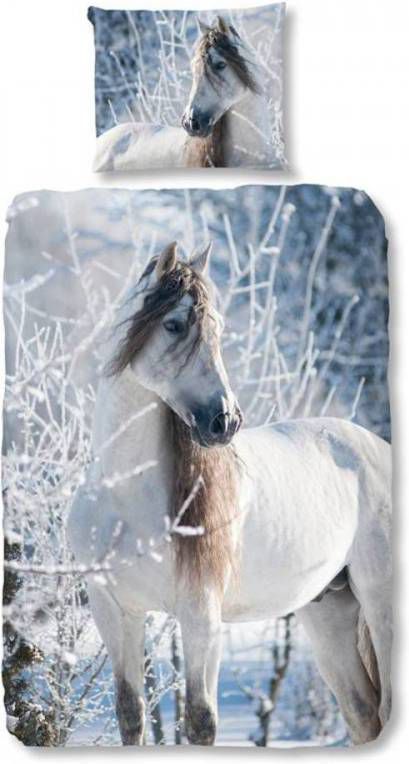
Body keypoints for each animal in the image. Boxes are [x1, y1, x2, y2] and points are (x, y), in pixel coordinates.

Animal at [67, 242, 392, 746]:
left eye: (218, 327)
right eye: (174, 324)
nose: (225, 421)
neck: (125, 494)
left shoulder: (201, 614)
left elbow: (201, 719)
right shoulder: (115, 611)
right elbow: (131, 713)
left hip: (382, 606)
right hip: (329, 613)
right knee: (363, 714)